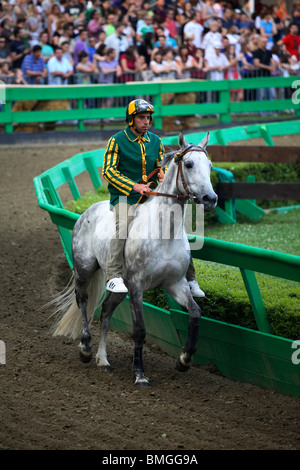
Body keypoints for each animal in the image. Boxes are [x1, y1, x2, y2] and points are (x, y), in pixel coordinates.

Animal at [51, 132, 216, 386]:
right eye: (188, 164)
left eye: (209, 166)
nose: (210, 198)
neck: (163, 233)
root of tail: (87, 212)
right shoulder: (137, 286)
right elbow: (139, 331)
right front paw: (139, 374)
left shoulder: (175, 284)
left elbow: (195, 313)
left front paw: (184, 360)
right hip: (84, 269)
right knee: (82, 301)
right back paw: (86, 349)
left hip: (121, 288)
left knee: (106, 310)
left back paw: (103, 359)